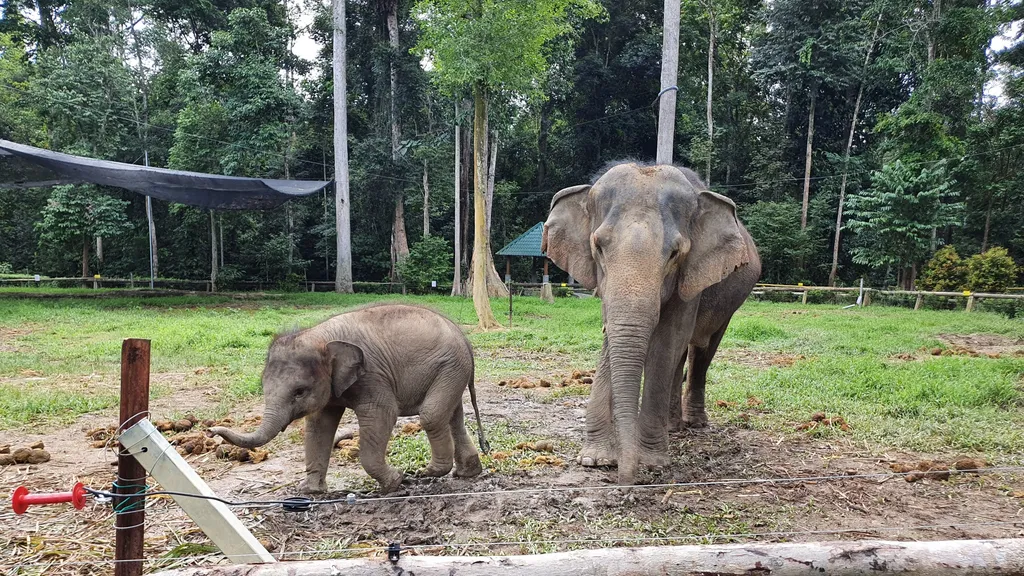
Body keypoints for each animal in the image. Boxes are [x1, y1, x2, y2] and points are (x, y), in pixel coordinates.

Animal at [207, 303, 487, 491]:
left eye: (299, 391)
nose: (210, 431)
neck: (320, 337)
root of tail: (464, 337)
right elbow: (319, 425)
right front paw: (310, 491)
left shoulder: (371, 376)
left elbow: (383, 413)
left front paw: (396, 482)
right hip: (451, 370)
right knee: (452, 415)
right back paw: (466, 473)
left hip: (449, 367)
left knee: (431, 415)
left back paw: (428, 472)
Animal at [544, 158, 761, 481]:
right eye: (598, 247)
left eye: (675, 254)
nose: (624, 482)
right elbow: (612, 336)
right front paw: (595, 459)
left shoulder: (691, 277)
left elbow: (667, 340)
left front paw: (650, 463)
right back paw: (673, 427)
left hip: (730, 299)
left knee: (700, 350)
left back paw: (694, 424)